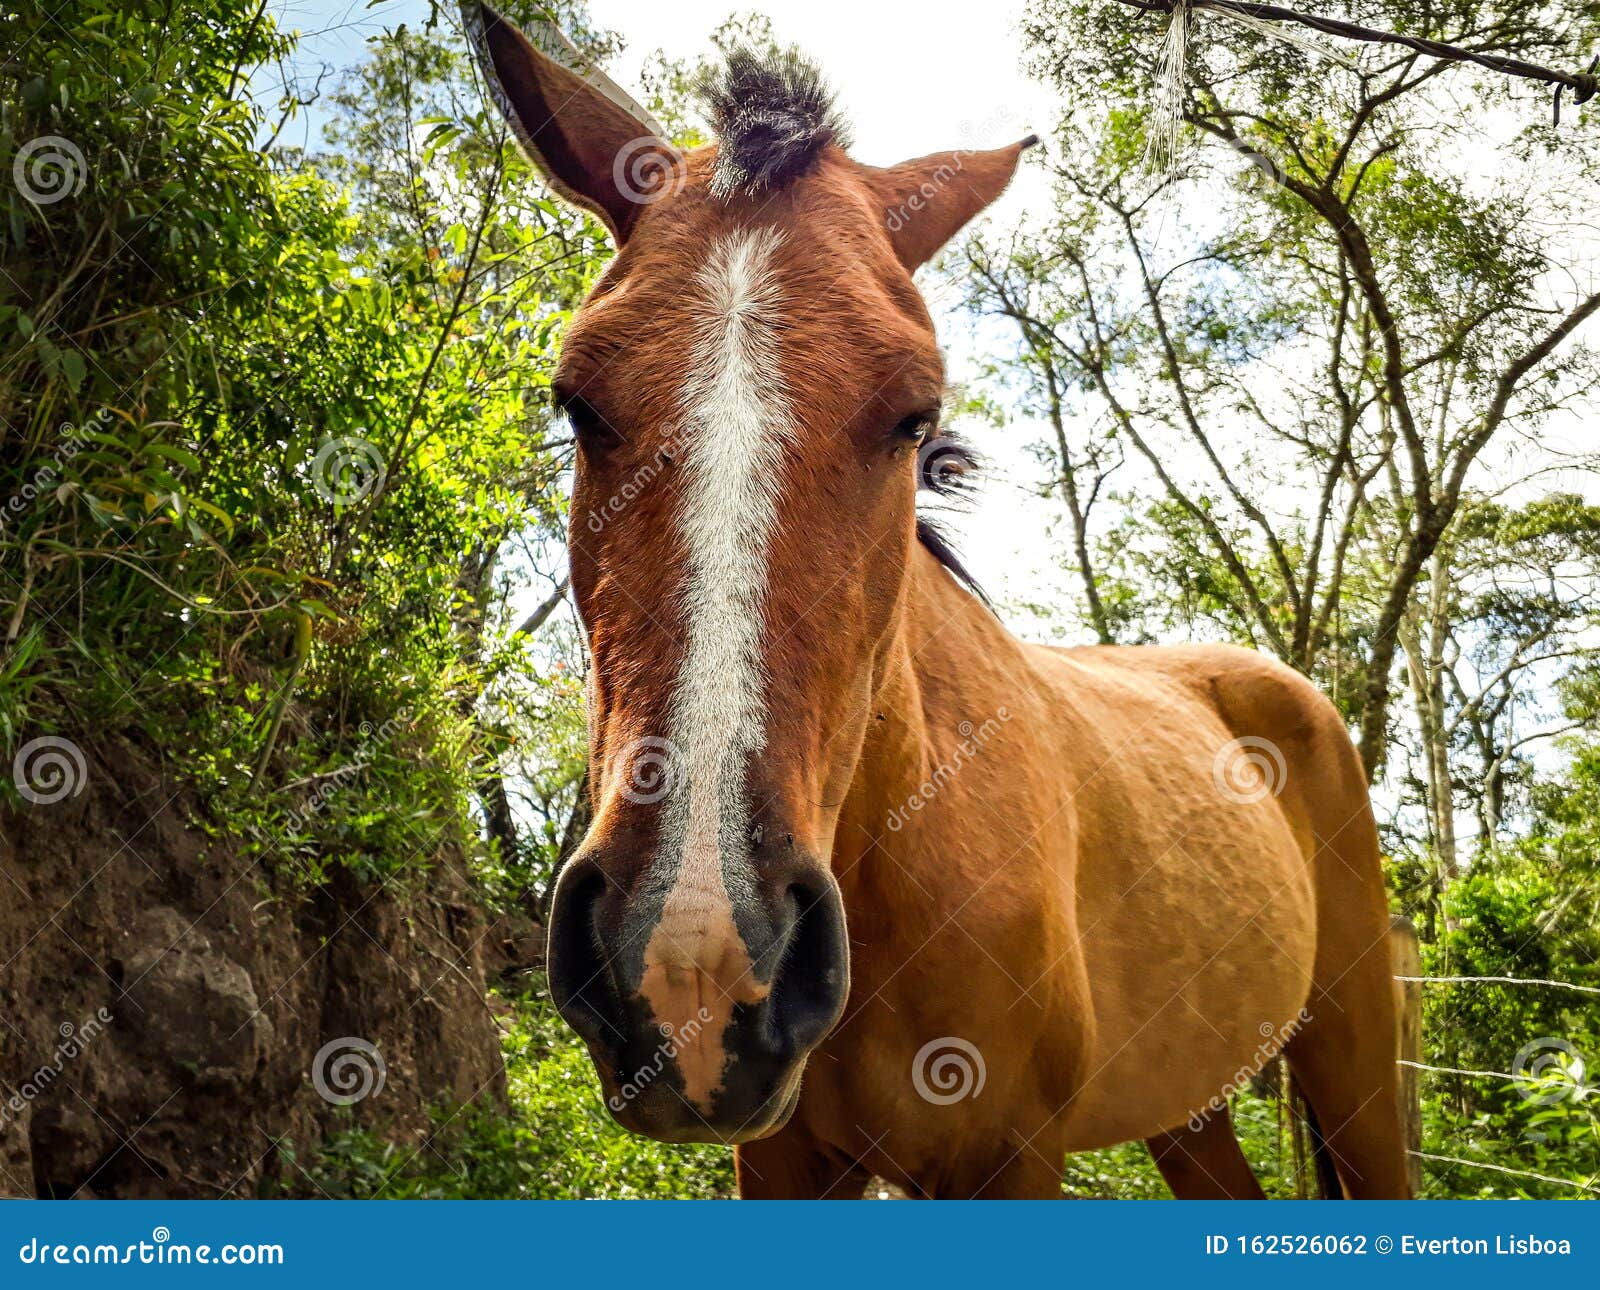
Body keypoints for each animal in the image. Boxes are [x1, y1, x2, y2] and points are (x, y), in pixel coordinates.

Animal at [467, 5, 1408, 1209]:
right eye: (577, 402)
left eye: (915, 417)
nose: (693, 957)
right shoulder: (781, 1163)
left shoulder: (1011, 1159)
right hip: (1191, 1107)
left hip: (1354, 1060)